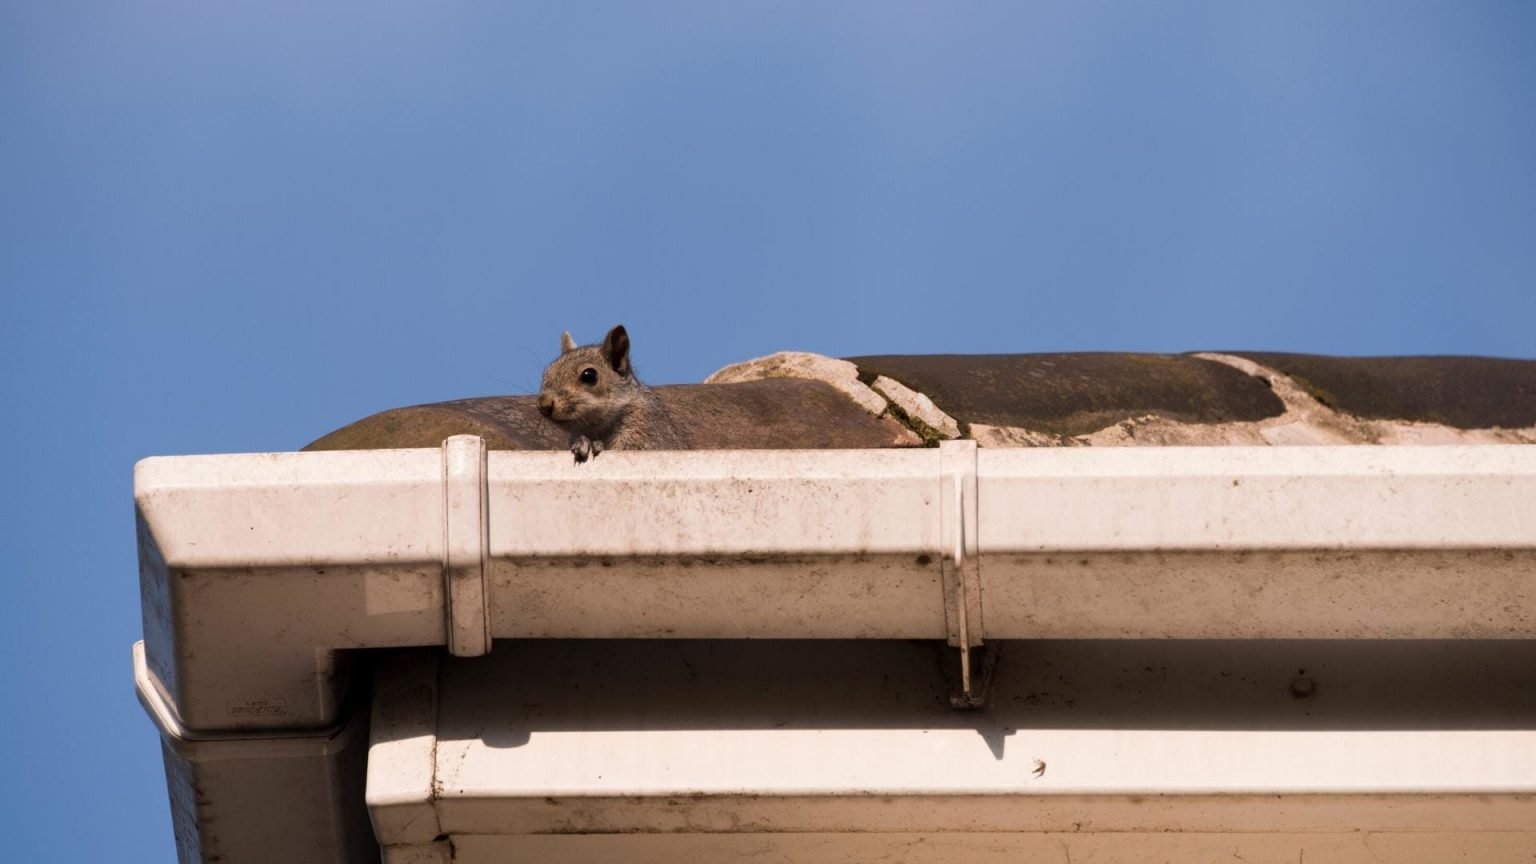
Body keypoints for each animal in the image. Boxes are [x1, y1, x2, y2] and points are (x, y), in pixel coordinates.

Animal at [536, 324, 688, 463]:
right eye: (546, 374)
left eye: (589, 376)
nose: (544, 405)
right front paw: (582, 442)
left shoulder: (649, 431)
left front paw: (592, 445)